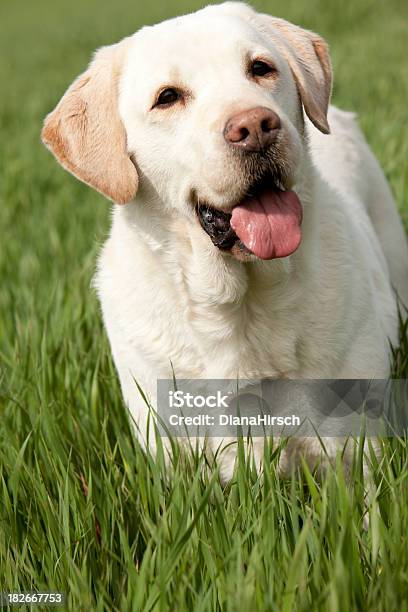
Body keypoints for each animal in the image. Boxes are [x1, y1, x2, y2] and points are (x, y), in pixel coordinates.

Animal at [42, 1, 408, 478]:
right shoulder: (176, 458)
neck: (242, 305)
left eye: (261, 68)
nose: (256, 126)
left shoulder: (356, 448)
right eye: (167, 97)